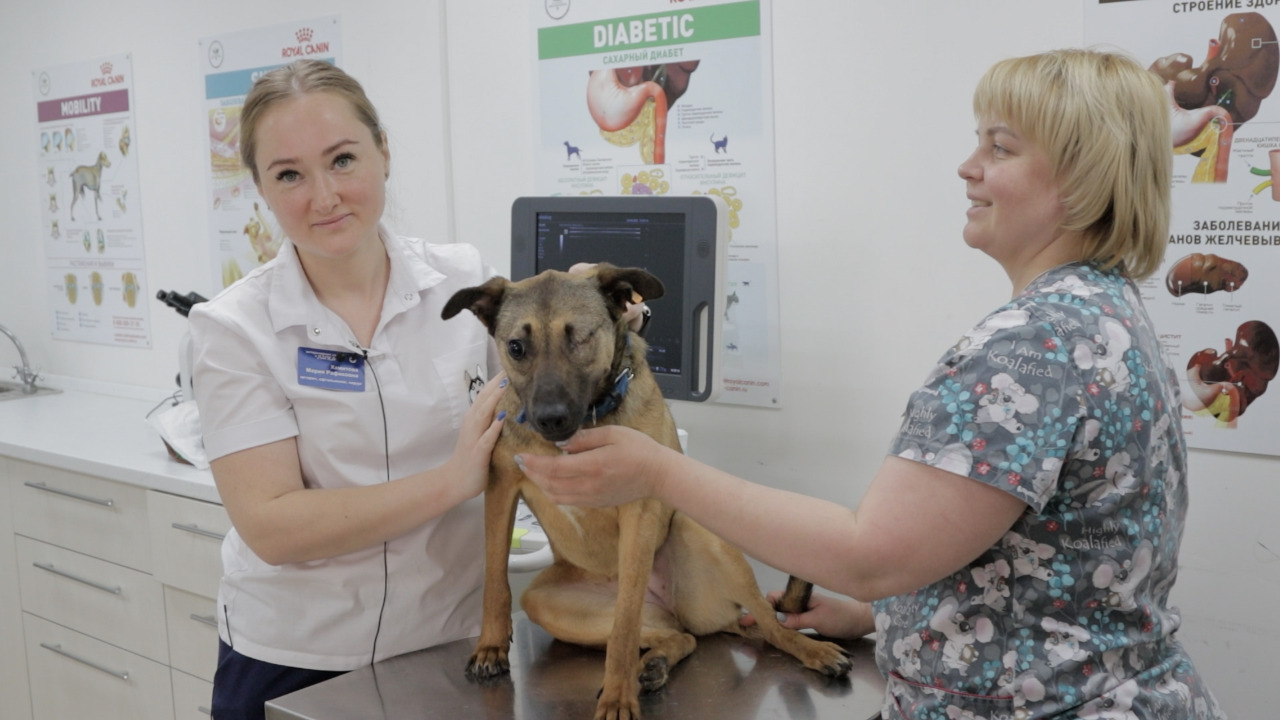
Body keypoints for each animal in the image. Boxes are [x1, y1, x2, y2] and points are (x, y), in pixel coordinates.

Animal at [440, 263, 849, 717]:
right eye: (515, 347)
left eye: (581, 336)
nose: (549, 419)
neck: (586, 424)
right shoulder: (501, 487)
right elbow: (495, 578)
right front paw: (492, 646)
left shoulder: (637, 511)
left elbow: (624, 625)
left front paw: (618, 695)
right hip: (547, 604)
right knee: (679, 636)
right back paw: (653, 664)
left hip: (699, 531)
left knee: (767, 625)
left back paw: (810, 651)